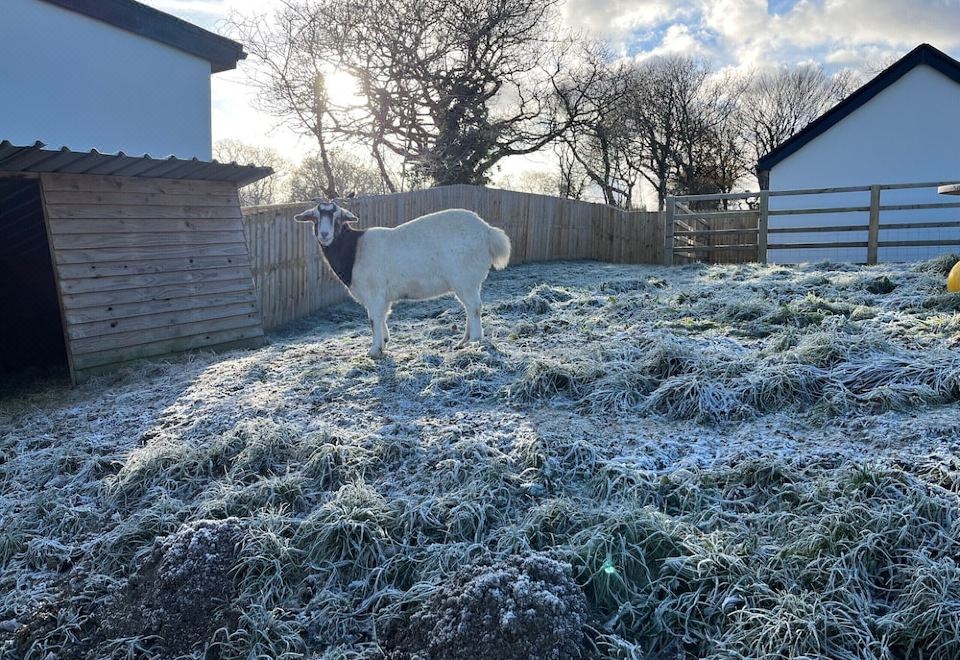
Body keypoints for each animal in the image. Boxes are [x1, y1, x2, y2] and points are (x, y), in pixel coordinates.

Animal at [296, 200, 512, 356]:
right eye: (315, 218)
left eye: (338, 218)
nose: (324, 234)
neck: (354, 249)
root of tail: (488, 232)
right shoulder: (383, 297)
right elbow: (383, 316)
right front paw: (384, 341)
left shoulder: (374, 294)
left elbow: (373, 319)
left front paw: (374, 350)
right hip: (470, 281)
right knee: (470, 307)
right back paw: (464, 340)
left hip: (464, 278)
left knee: (474, 307)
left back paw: (474, 341)